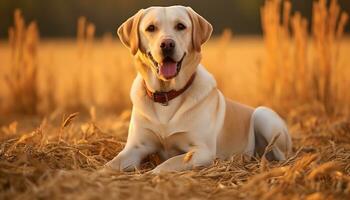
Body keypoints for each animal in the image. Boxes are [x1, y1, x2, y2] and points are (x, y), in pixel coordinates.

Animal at [105, 5, 292, 173]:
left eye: (180, 26)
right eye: (151, 28)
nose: (167, 44)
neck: (167, 95)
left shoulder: (202, 151)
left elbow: (168, 164)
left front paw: (152, 174)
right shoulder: (135, 147)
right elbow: (111, 164)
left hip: (263, 116)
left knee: (280, 154)